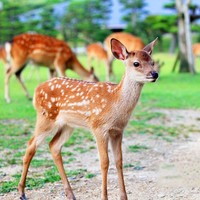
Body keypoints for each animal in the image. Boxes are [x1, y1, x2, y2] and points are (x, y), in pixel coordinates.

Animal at [18, 37, 159, 200]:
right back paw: (22, 192)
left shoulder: (118, 130)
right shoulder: (98, 127)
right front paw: (104, 197)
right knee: (31, 145)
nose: (154, 74)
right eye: (136, 63)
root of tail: (36, 91)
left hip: (67, 125)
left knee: (54, 146)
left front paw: (124, 197)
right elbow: (104, 162)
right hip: (46, 117)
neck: (115, 102)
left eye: (152, 62)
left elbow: (119, 161)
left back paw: (70, 194)